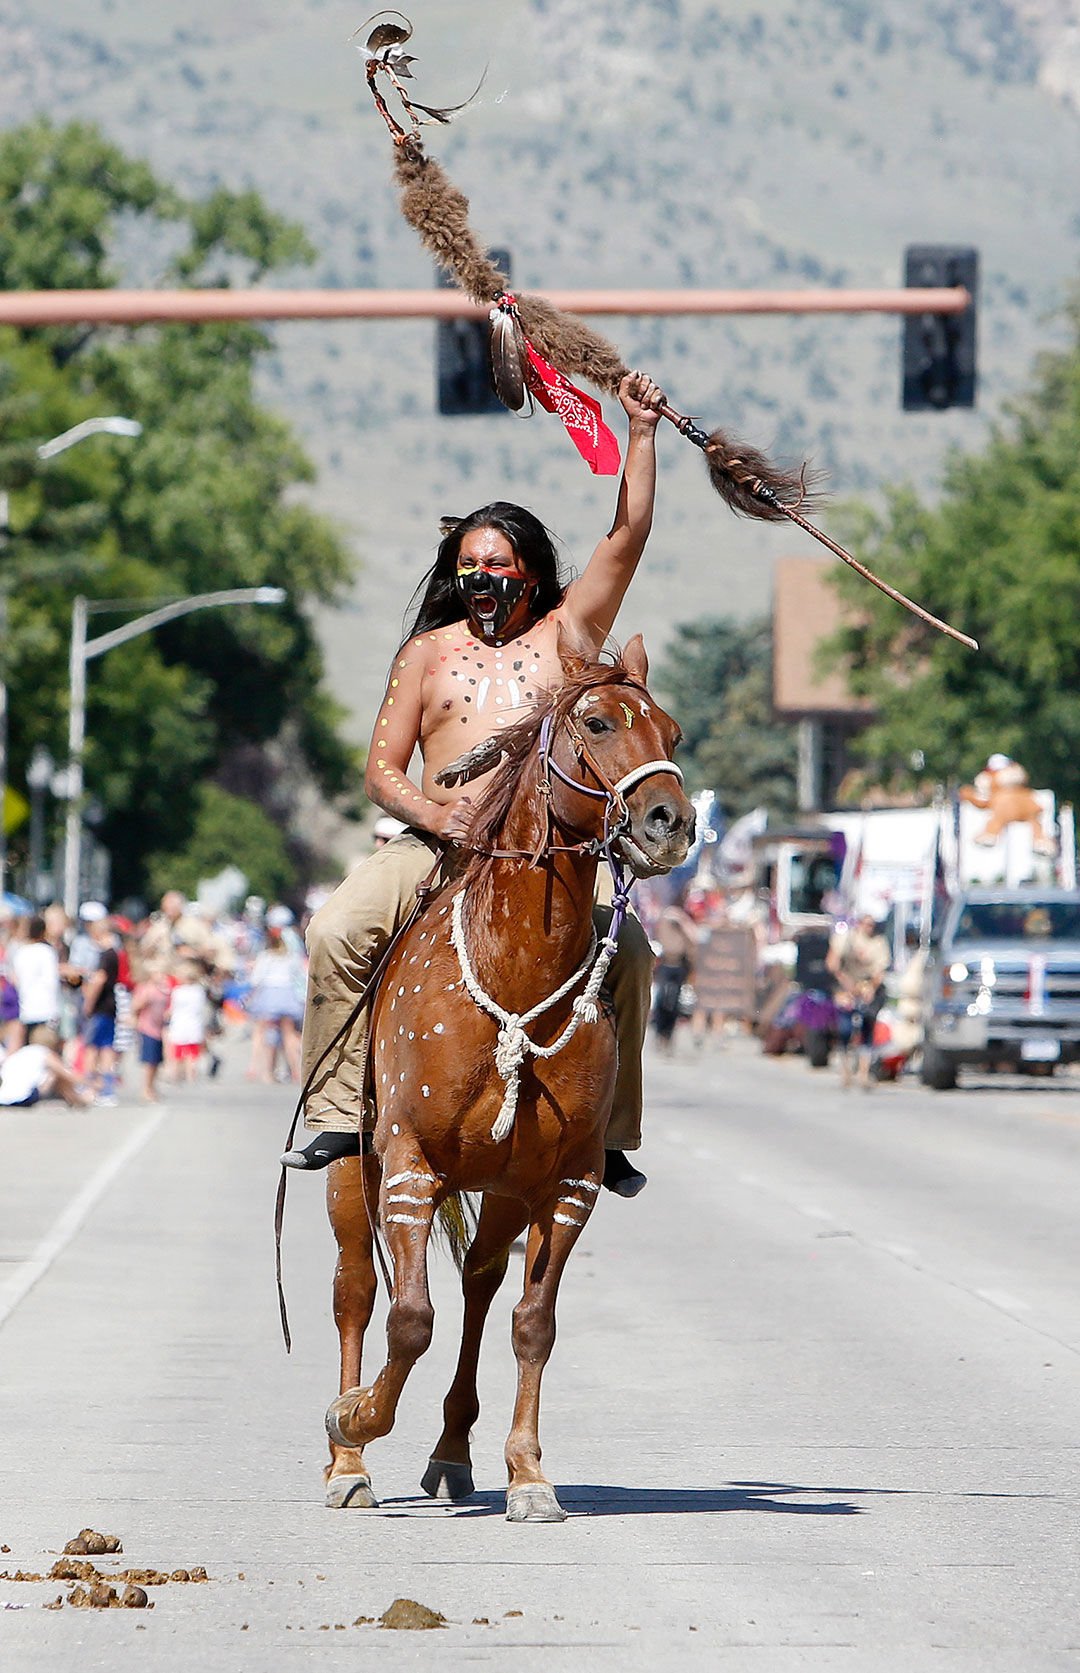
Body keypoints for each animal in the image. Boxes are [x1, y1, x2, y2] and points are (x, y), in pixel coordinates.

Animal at [324, 632, 695, 1525]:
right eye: (598, 722)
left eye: (671, 729)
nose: (672, 822)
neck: (515, 969)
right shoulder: (410, 1166)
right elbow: (408, 1317)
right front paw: (357, 1416)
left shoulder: (569, 1181)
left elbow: (533, 1322)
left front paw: (527, 1472)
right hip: (354, 1170)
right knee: (356, 1292)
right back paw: (347, 1461)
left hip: (501, 1187)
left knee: (483, 1286)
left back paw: (452, 1451)